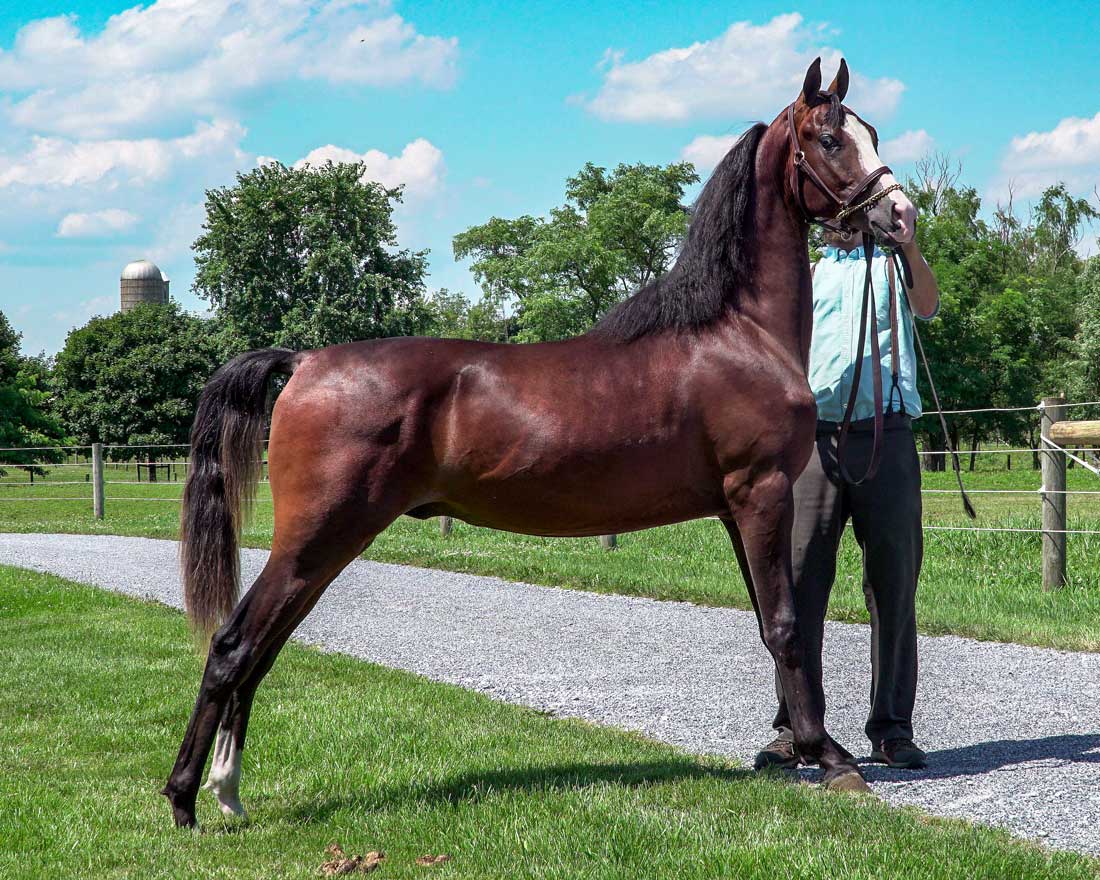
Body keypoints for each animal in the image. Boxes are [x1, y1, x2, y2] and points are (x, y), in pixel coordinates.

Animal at [163, 57, 917, 828]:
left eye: (871, 131)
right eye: (830, 139)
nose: (899, 215)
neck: (738, 332)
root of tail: (305, 361)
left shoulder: (737, 510)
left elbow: (771, 626)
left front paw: (808, 751)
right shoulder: (761, 494)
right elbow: (789, 626)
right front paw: (832, 761)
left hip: (324, 545)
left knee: (262, 648)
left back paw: (227, 791)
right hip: (318, 536)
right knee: (234, 645)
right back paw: (186, 798)